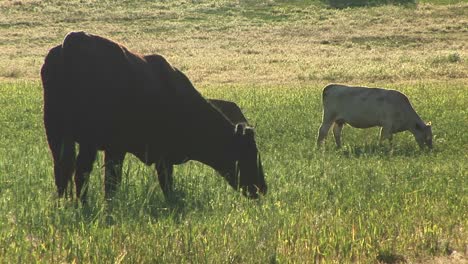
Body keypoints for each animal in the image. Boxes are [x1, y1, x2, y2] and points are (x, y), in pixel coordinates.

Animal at [41, 32, 266, 203]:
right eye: (250, 152)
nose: (262, 188)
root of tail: (74, 41)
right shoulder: (148, 154)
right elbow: (152, 184)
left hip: (56, 134)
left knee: (62, 170)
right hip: (89, 139)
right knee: (81, 171)